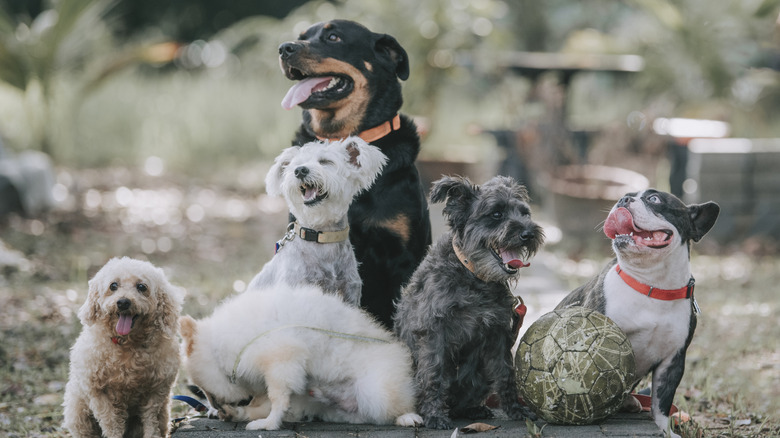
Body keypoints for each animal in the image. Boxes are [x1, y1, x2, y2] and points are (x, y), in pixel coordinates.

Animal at [180, 282, 424, 430]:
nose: (213, 406)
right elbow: (267, 403)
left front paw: (268, 424)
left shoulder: (281, 360)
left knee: (391, 408)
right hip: (330, 406)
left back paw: (407, 417)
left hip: (378, 391)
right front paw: (239, 413)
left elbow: (277, 400)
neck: (223, 342)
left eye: (206, 390)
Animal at [394, 175, 544, 428]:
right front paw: (434, 414)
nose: (528, 234)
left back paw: (474, 409)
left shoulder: (498, 333)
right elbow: (433, 373)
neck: (473, 275)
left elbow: (506, 373)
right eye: (496, 214)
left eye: (525, 213)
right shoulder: (433, 330)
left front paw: (515, 409)